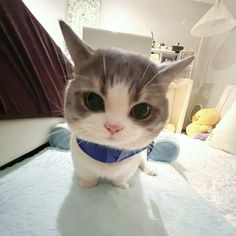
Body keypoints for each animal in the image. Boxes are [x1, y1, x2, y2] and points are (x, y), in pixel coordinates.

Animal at [59, 21, 194, 189]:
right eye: (93, 99)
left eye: (141, 110)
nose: (113, 127)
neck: (108, 154)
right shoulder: (80, 161)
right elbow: (88, 175)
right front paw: (86, 185)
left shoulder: (131, 161)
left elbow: (122, 176)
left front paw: (121, 185)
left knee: (143, 160)